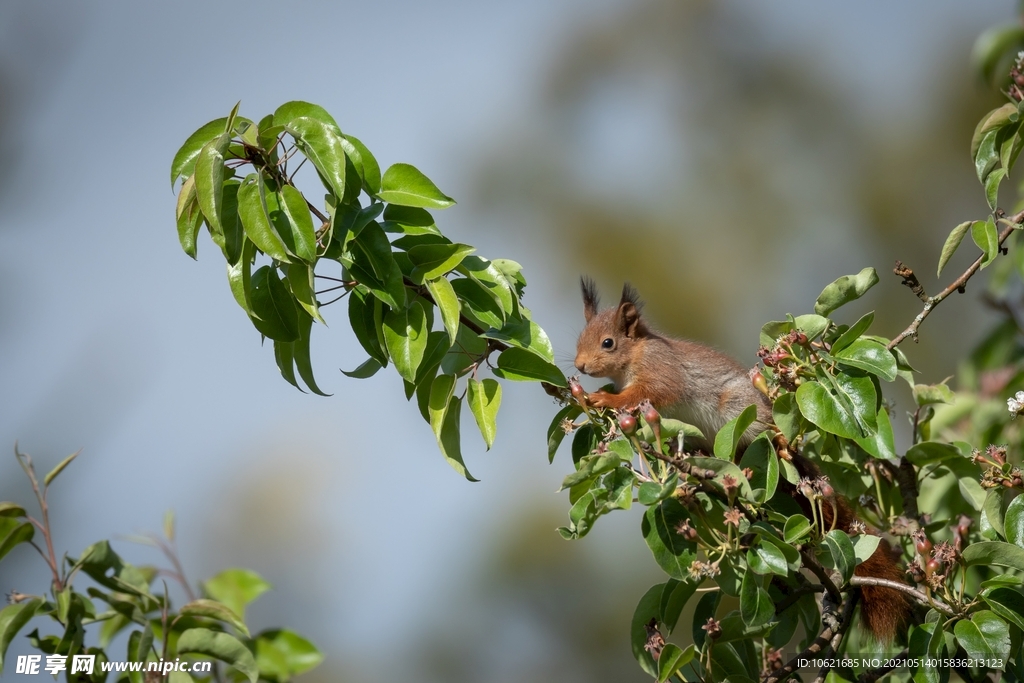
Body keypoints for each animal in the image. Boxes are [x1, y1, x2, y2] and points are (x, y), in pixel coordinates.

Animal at [577, 278, 913, 643]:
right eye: (580, 337)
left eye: (608, 343)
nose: (580, 366)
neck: (635, 355)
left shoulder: (660, 371)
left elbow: (649, 393)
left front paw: (605, 399)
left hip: (741, 413)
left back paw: (778, 444)